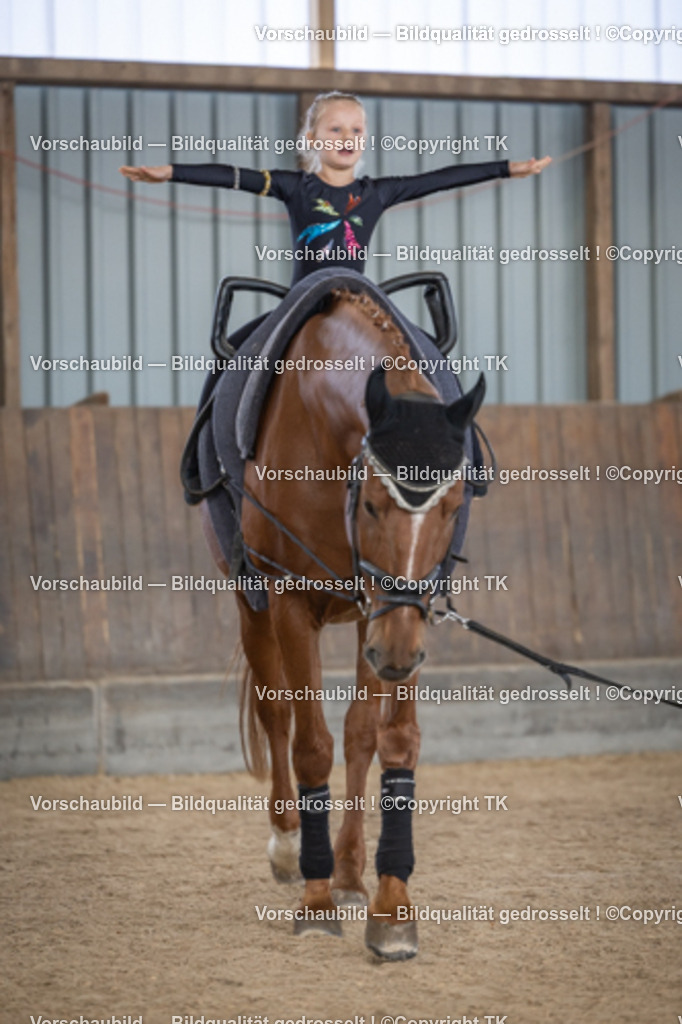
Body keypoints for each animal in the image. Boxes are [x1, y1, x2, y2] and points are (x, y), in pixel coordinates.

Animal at [200, 287, 485, 960]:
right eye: (374, 504)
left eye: (453, 505)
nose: (399, 655)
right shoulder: (290, 602)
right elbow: (310, 744)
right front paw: (315, 897)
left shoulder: (393, 616)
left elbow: (388, 738)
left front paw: (388, 903)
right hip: (253, 605)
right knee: (276, 711)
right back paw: (287, 845)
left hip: (369, 622)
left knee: (358, 732)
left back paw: (350, 872)